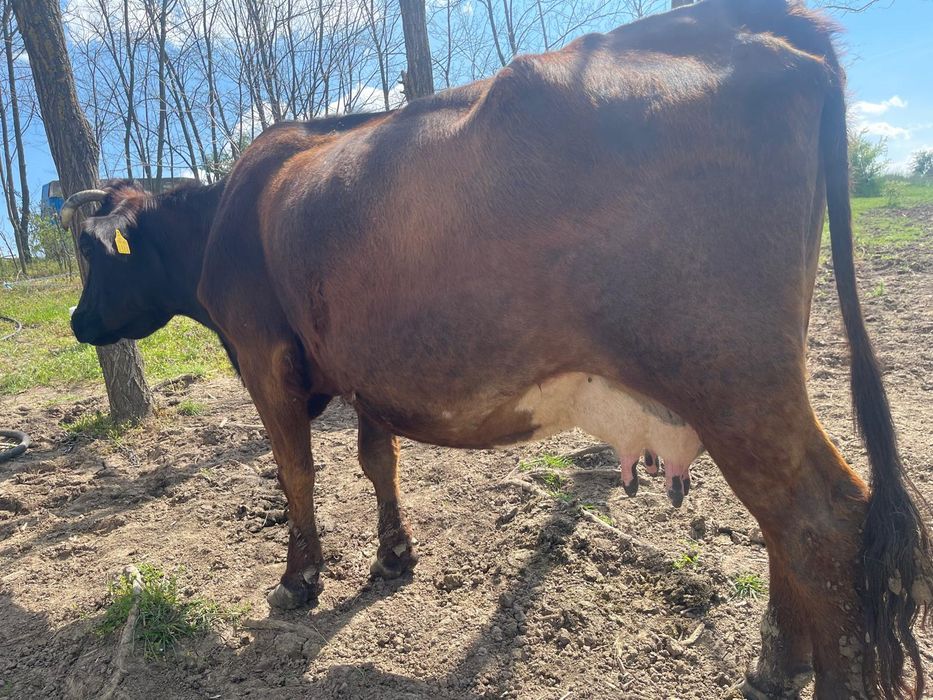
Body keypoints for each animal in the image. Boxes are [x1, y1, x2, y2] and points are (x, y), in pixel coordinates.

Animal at [63, 0, 932, 697]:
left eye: (93, 256)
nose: (75, 322)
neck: (230, 215)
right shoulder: (365, 365)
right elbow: (378, 461)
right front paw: (393, 558)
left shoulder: (264, 357)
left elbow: (295, 472)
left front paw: (297, 580)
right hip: (745, 386)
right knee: (784, 526)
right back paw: (775, 665)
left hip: (729, 375)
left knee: (821, 525)